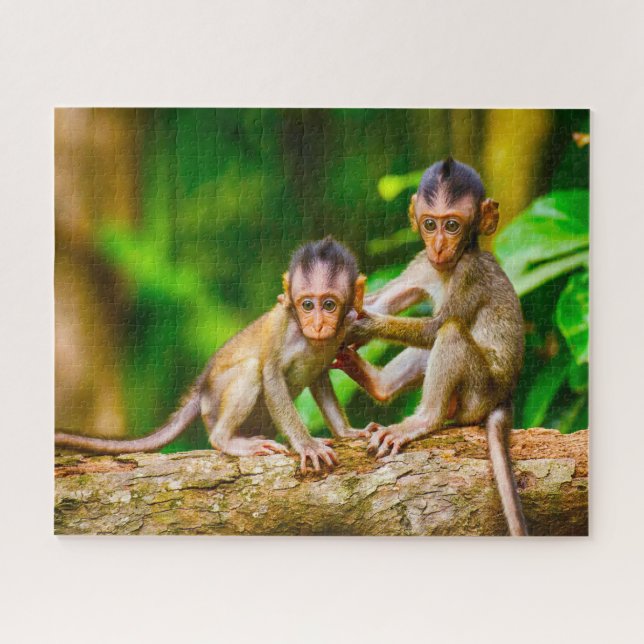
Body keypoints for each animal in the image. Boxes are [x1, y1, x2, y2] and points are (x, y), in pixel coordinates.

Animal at [56, 237, 370, 474]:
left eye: (328, 305)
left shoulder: (343, 328)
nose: (316, 324)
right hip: (215, 403)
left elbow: (320, 376)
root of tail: (202, 390)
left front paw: (346, 432)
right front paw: (306, 444)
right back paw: (227, 440)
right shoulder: (283, 324)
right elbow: (270, 375)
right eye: (307, 305)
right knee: (251, 369)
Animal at [336, 158, 529, 535]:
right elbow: (386, 300)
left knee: (450, 332)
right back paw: (378, 385)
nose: (438, 245)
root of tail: (505, 396)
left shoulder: (470, 272)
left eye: (452, 225)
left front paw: (360, 324)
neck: (450, 266)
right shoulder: (422, 263)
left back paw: (424, 419)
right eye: (430, 224)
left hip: (477, 394)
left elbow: (435, 328)